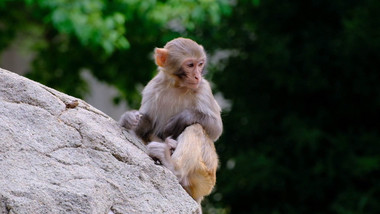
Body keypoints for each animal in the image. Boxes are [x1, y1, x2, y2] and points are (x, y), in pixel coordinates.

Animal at [119, 38, 223, 206]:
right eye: (190, 65)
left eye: (200, 64)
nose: (197, 76)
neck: (178, 86)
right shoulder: (153, 87)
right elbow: (147, 122)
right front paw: (128, 119)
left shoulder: (204, 89)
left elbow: (215, 128)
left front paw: (181, 118)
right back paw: (169, 147)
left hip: (207, 174)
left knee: (196, 127)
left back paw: (172, 165)